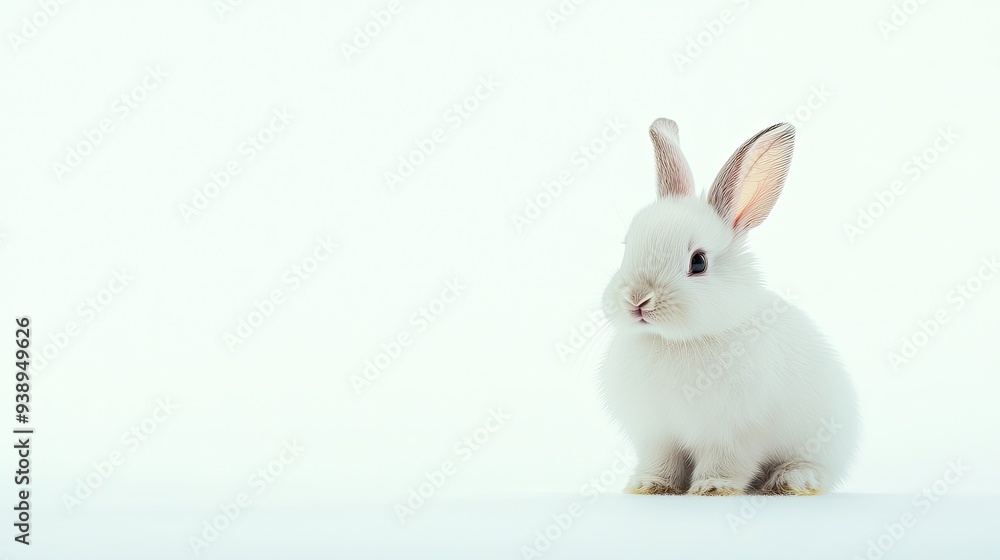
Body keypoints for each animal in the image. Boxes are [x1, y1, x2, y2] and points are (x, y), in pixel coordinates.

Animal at [597, 118, 859, 496]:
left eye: (699, 262)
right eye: (626, 246)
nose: (637, 300)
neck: (674, 341)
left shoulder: (734, 435)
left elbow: (726, 464)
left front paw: (712, 489)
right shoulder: (657, 436)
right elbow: (661, 463)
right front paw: (649, 486)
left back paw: (792, 480)